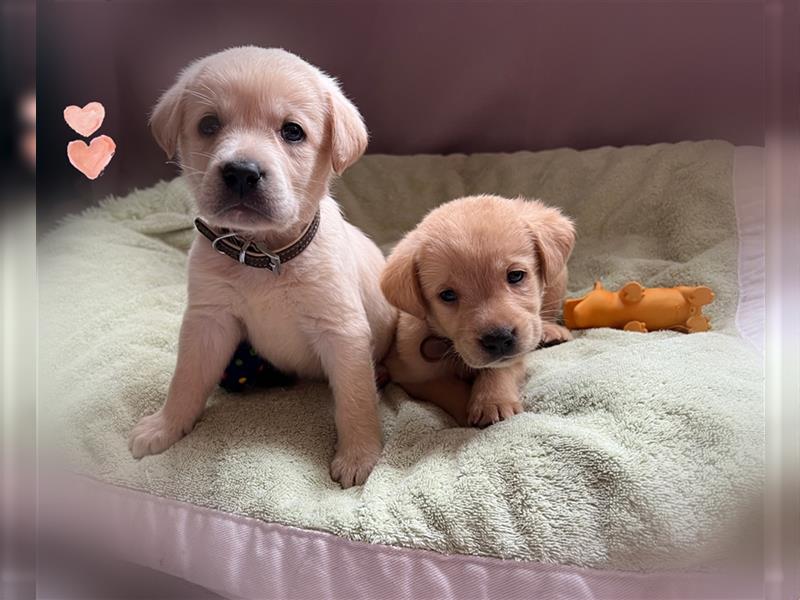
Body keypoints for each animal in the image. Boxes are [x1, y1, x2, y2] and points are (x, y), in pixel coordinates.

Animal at [127, 47, 396, 488]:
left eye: (292, 132)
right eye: (209, 124)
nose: (241, 172)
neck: (263, 254)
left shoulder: (342, 330)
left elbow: (355, 400)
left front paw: (359, 455)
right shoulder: (208, 321)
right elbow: (185, 380)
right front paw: (165, 427)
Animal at [378, 197, 572, 426]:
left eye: (516, 275)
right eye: (447, 295)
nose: (498, 339)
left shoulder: (518, 350)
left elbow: (502, 367)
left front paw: (492, 400)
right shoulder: (411, 373)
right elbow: (447, 387)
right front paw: (468, 411)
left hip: (558, 277)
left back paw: (551, 331)